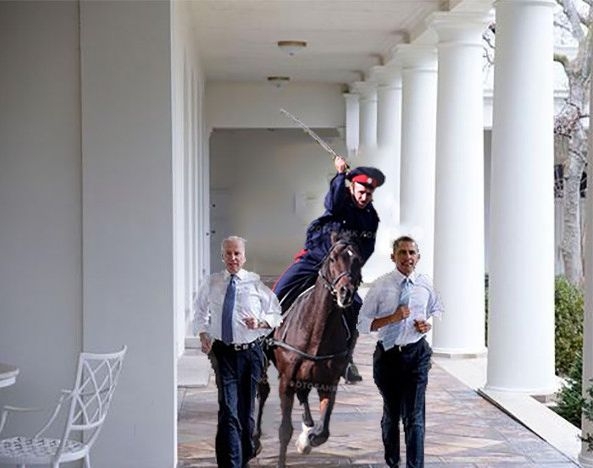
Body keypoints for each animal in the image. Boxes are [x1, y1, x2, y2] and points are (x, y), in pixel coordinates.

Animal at [253, 236, 360, 466]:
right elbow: (284, 430)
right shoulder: (286, 380)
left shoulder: (329, 382)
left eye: (357, 259)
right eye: (332, 258)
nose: (345, 292)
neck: (316, 329)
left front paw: (308, 438)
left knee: (303, 395)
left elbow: (323, 431)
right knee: (262, 391)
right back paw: (255, 440)